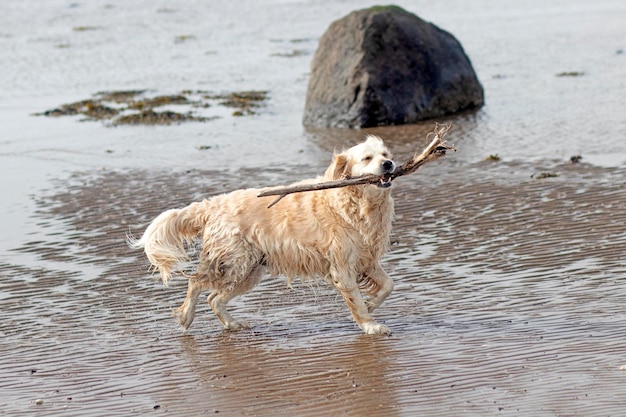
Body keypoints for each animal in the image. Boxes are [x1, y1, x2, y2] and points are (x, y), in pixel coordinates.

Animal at [128, 134, 394, 334]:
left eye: (386, 154)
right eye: (367, 158)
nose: (389, 164)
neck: (358, 204)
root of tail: (211, 204)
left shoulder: (366, 259)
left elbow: (388, 285)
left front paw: (371, 303)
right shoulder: (342, 267)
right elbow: (356, 302)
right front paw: (371, 326)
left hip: (250, 270)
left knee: (214, 298)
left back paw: (233, 324)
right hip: (234, 262)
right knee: (197, 283)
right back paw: (186, 316)